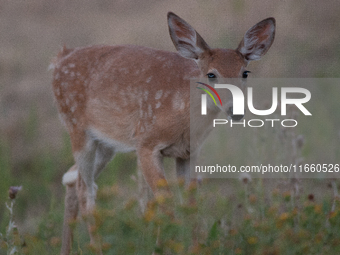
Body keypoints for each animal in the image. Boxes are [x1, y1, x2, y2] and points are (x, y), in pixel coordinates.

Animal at [49, 10, 274, 254]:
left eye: (245, 73)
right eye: (211, 74)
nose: (236, 110)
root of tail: (59, 58)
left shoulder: (189, 152)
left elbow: (190, 204)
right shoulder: (146, 143)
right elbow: (166, 202)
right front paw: (166, 246)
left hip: (106, 143)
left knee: (72, 179)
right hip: (77, 128)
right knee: (85, 189)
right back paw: (96, 247)